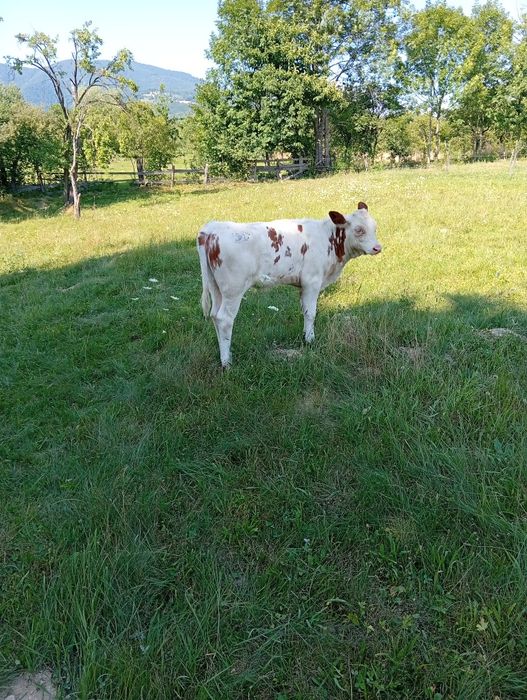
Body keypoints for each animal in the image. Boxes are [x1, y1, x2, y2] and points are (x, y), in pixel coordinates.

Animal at [197, 202, 382, 367]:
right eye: (359, 229)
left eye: (375, 227)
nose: (377, 248)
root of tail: (213, 228)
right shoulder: (312, 281)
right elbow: (311, 313)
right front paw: (310, 340)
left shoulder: (303, 285)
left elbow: (304, 310)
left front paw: (305, 336)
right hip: (233, 289)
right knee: (224, 319)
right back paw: (227, 362)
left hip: (216, 288)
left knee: (214, 315)